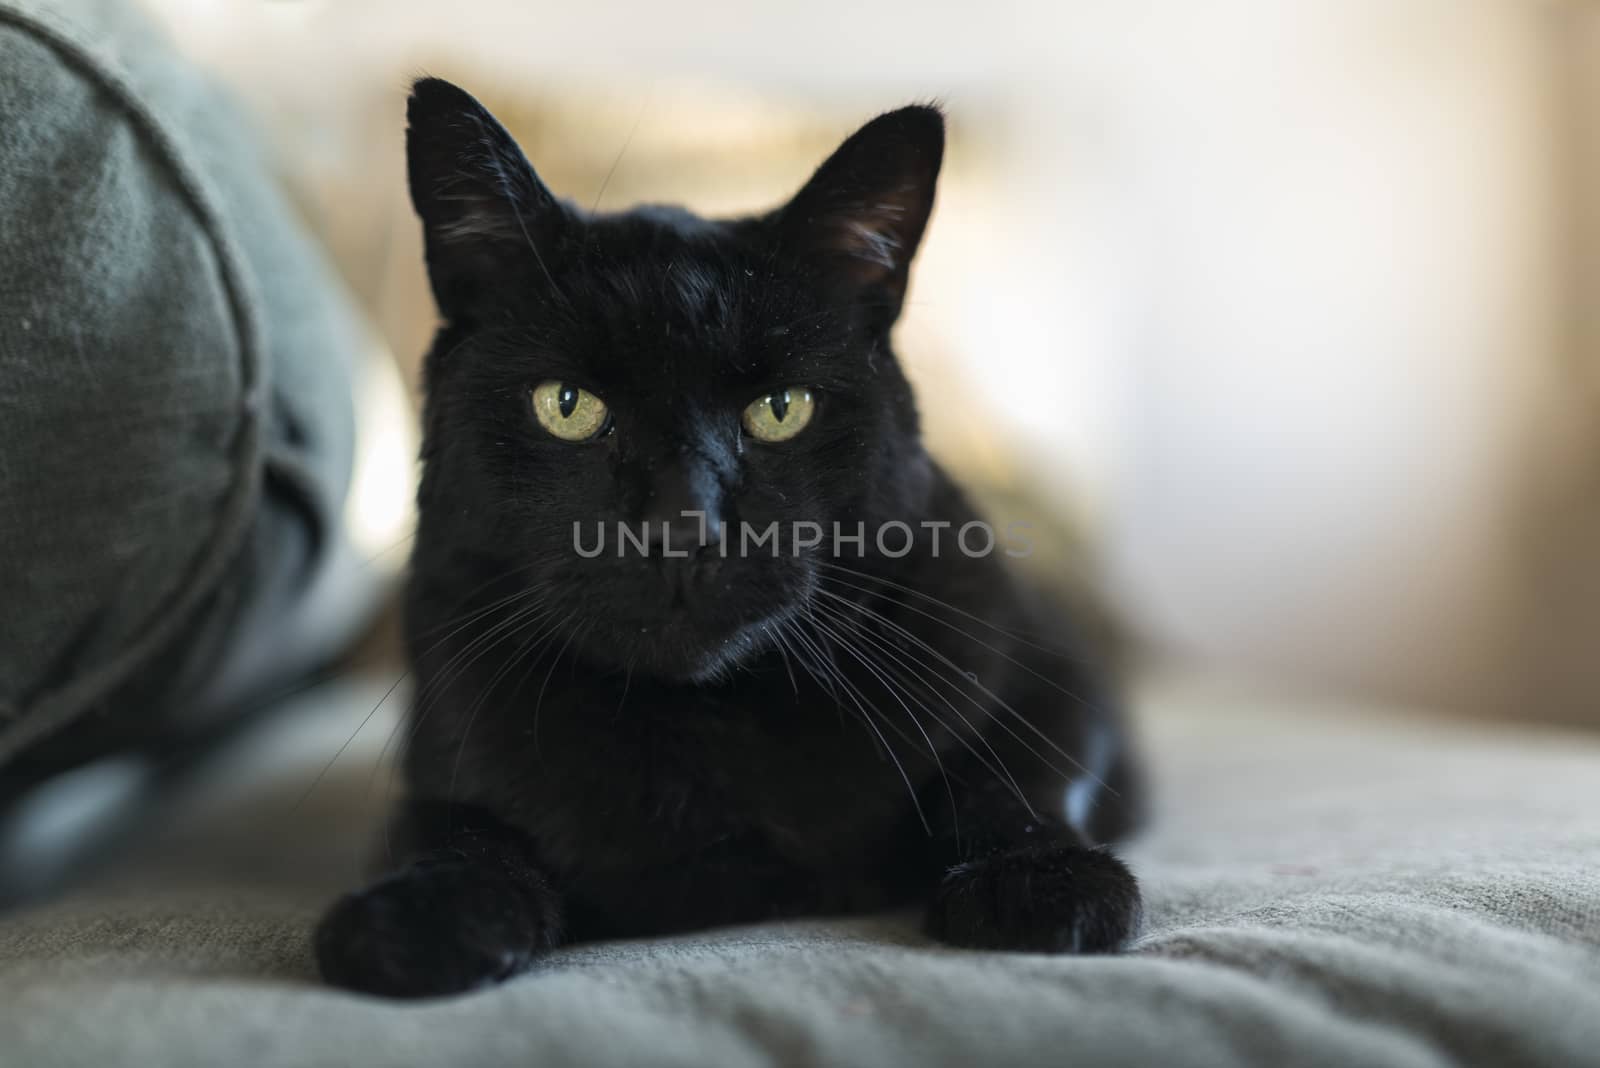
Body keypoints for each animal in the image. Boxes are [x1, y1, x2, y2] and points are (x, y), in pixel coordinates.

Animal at [312, 77, 1145, 1004]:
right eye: (567, 405)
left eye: (781, 409)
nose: (684, 526)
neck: (704, 730)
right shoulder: (442, 750)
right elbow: (456, 831)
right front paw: (418, 919)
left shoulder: (1062, 681)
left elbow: (1013, 777)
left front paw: (1043, 885)